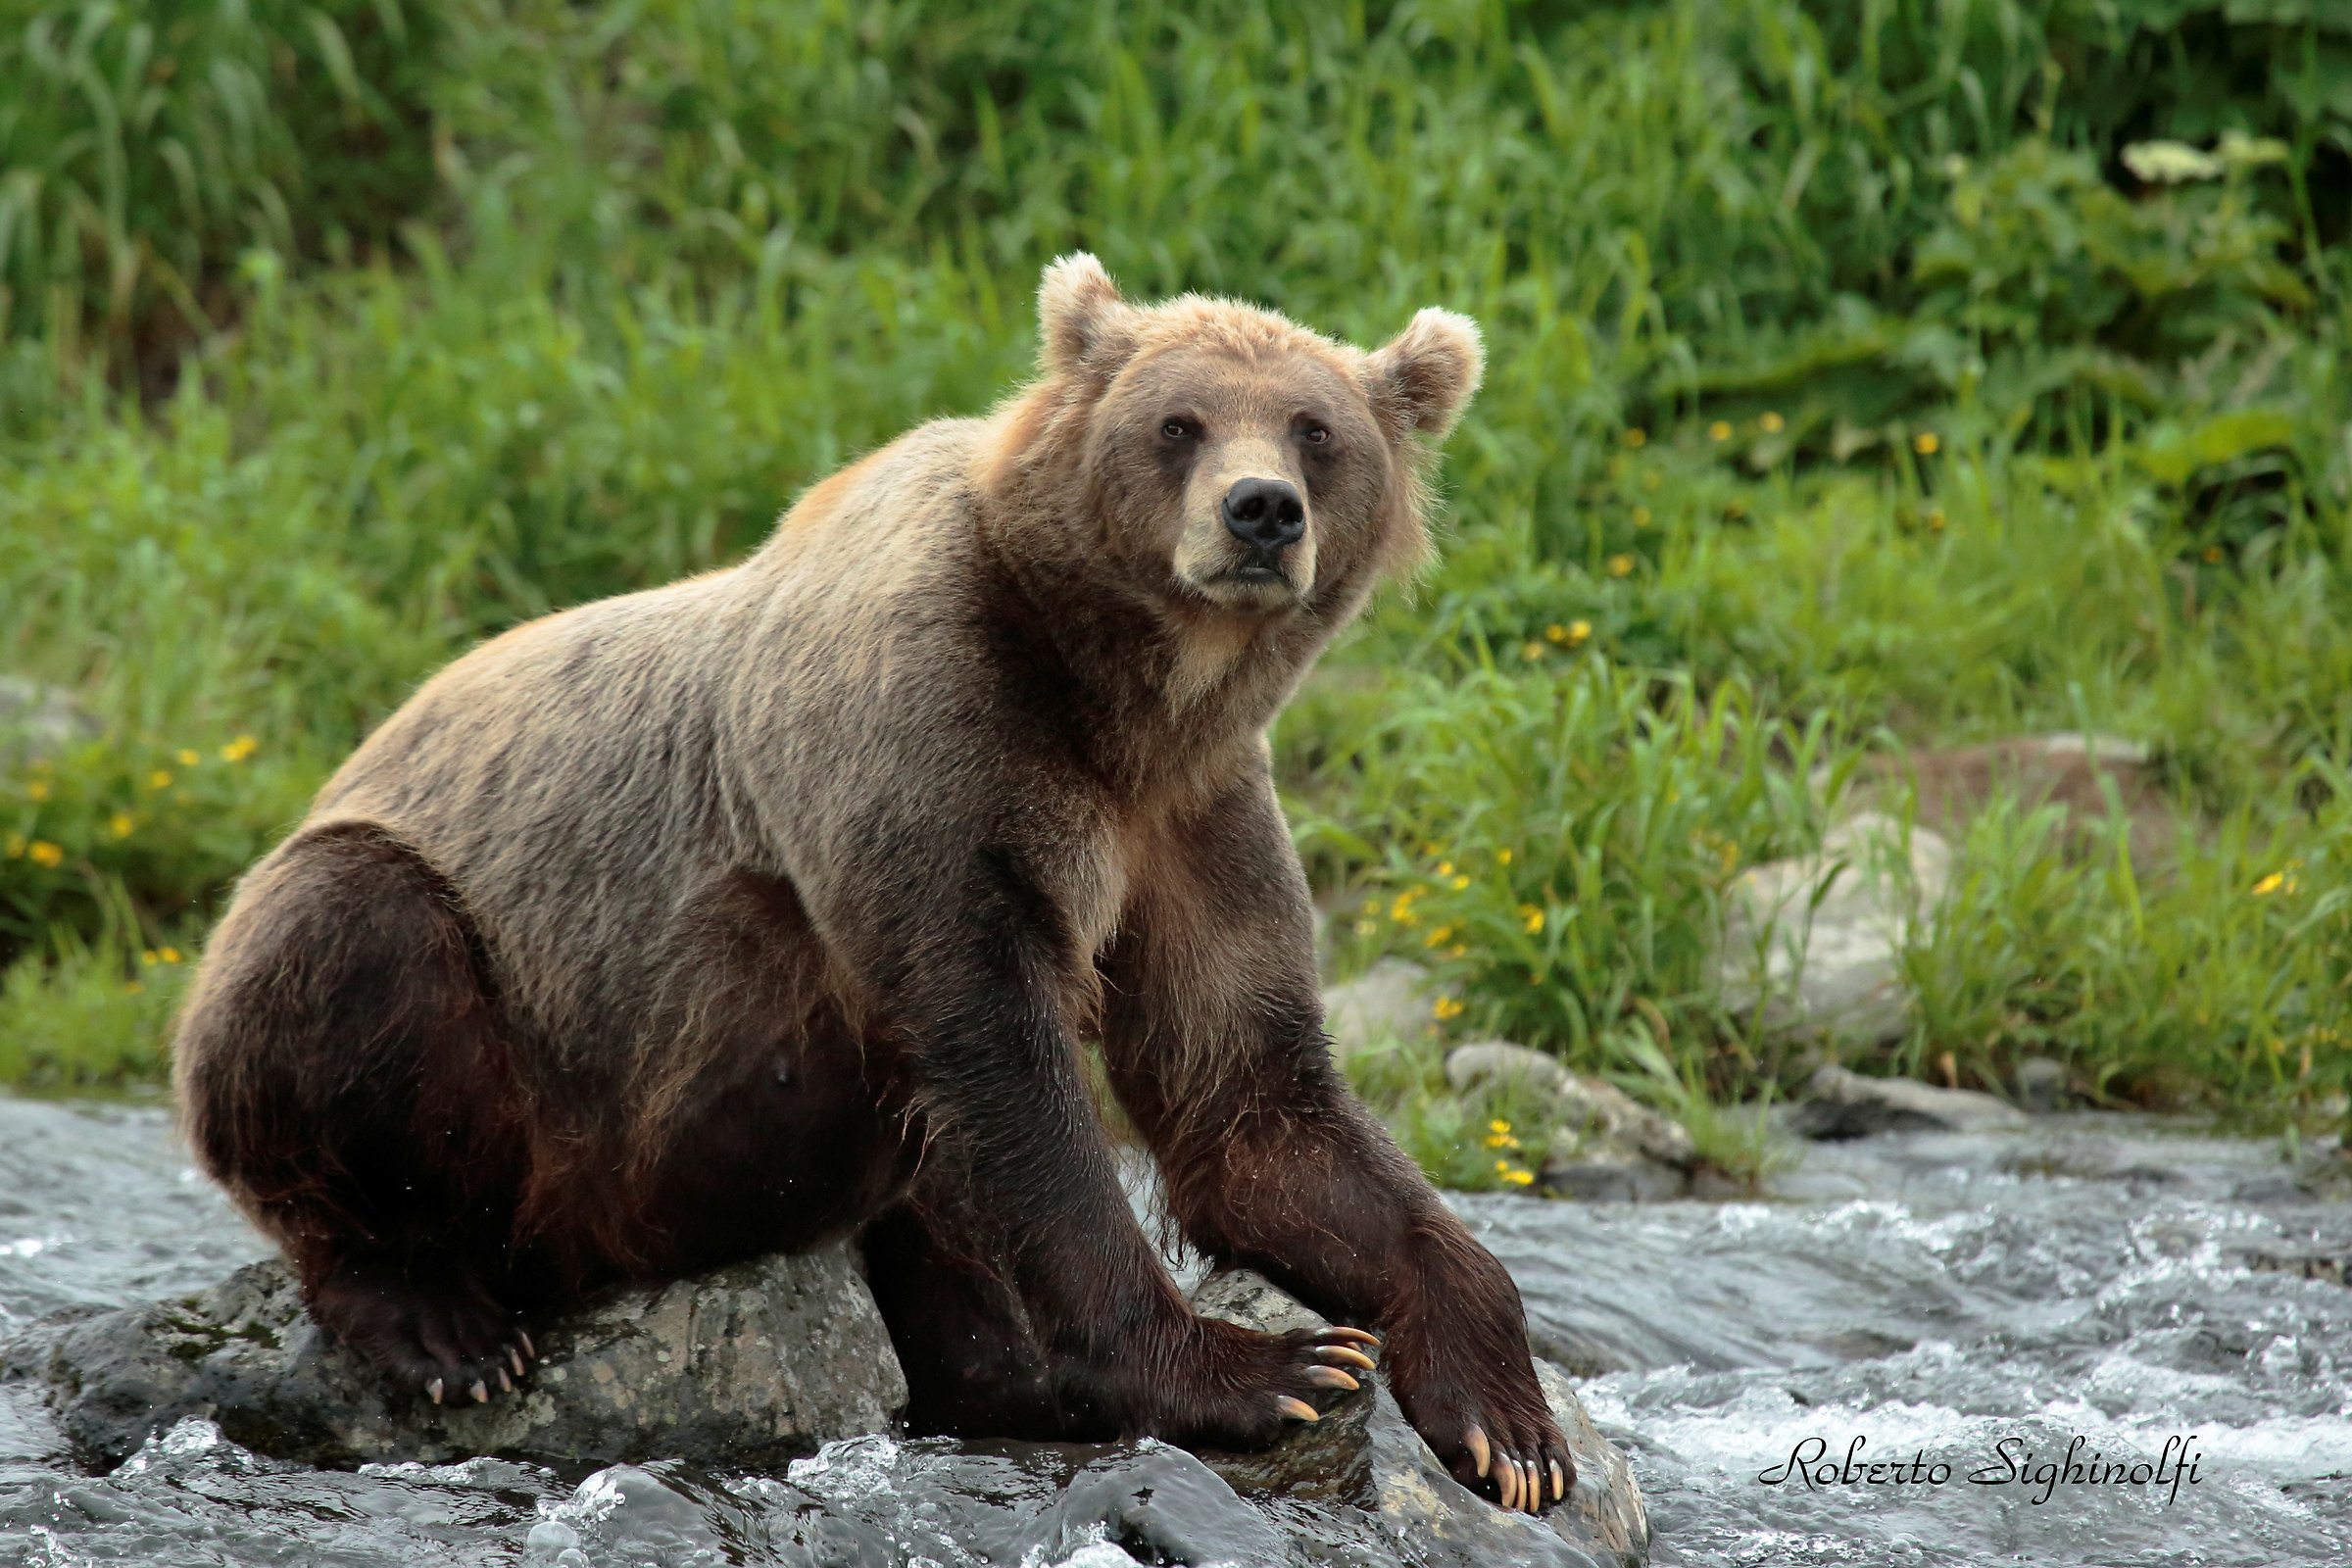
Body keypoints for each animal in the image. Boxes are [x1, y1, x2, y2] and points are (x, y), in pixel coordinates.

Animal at [172, 254, 1571, 1513]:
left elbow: (1248, 1094)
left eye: (1315, 430)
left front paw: (1505, 1418)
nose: (1261, 512)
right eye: (1178, 423)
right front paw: (1261, 1365)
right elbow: (1001, 1062)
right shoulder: (926, 735)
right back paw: (440, 1323)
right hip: (529, 1079)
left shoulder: (1194, 816)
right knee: (352, 942)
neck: (1120, 695)